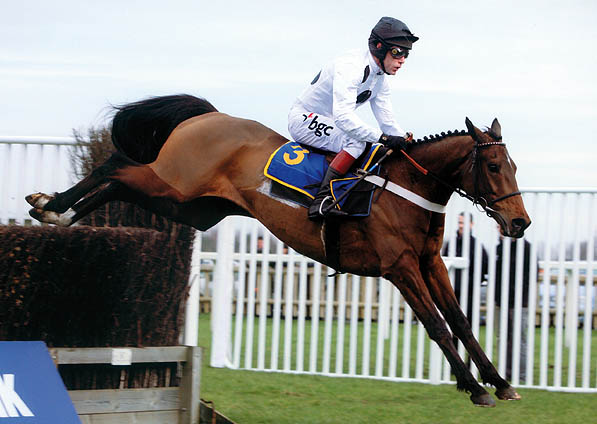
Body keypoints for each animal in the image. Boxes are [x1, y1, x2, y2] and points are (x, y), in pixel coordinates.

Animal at [26, 93, 532, 408]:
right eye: (492, 166)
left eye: (513, 165)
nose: (520, 223)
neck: (409, 188)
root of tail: (207, 115)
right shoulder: (400, 267)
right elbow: (438, 327)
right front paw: (473, 388)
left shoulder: (430, 262)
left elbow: (461, 322)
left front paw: (500, 383)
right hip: (174, 184)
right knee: (116, 166)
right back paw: (50, 206)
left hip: (188, 206)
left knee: (120, 183)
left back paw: (57, 212)